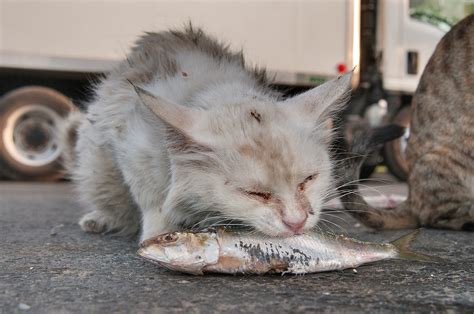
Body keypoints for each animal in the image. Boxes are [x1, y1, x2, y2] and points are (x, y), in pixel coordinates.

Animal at [60, 27, 352, 243]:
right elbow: (152, 197)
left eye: (309, 180)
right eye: (254, 193)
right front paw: (159, 234)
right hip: (94, 167)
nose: (296, 222)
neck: (216, 90)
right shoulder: (132, 146)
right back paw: (101, 219)